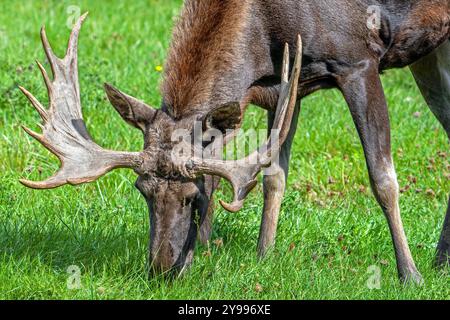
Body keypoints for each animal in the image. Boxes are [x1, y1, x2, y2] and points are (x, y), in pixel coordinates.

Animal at [20, 0, 450, 284]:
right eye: (142, 189)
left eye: (193, 196)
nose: (160, 269)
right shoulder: (286, 84)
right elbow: (274, 176)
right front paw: (264, 257)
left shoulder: (357, 60)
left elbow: (383, 178)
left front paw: (409, 275)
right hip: (429, 54)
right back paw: (441, 260)